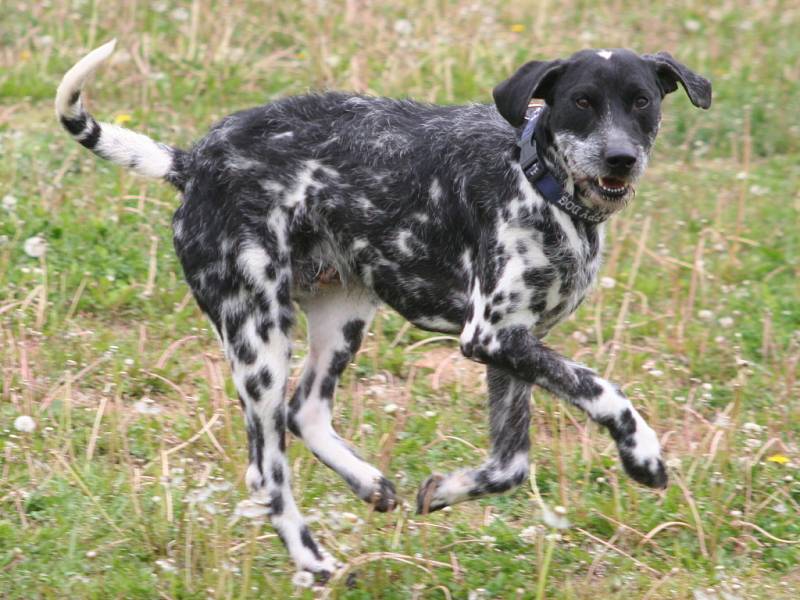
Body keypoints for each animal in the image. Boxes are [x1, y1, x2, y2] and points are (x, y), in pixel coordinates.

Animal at [56, 42, 712, 576]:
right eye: (581, 102)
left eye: (641, 102)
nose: (621, 157)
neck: (538, 182)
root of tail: (192, 162)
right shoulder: (493, 338)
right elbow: (606, 392)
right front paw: (642, 453)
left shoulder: (513, 349)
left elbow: (510, 466)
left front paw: (443, 491)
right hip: (258, 337)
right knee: (267, 471)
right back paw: (314, 561)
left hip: (342, 320)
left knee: (305, 412)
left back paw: (369, 484)